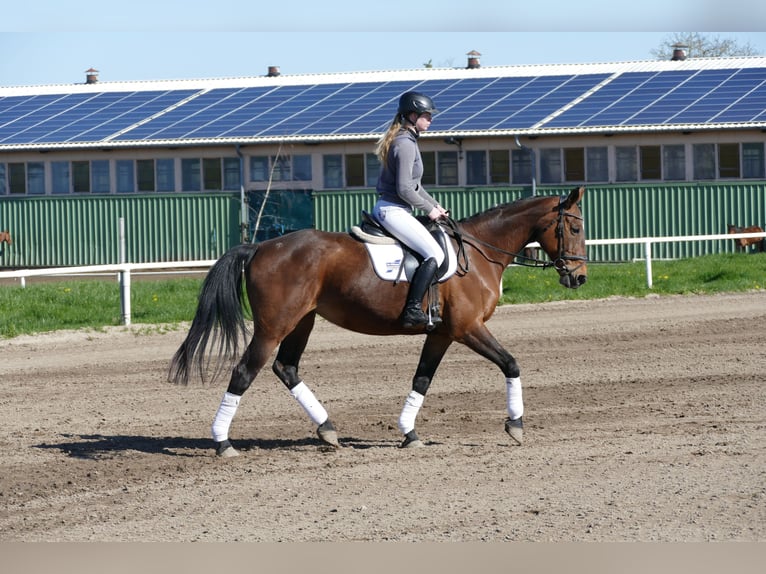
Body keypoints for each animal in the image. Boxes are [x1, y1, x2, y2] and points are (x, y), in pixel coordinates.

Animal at [169, 187, 587, 457]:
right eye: (576, 228)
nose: (579, 277)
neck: (480, 251)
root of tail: (260, 246)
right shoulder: (468, 329)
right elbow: (511, 363)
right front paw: (515, 426)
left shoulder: (442, 334)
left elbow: (422, 379)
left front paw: (409, 433)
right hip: (274, 327)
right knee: (244, 372)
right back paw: (223, 443)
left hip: (303, 322)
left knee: (286, 368)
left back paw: (327, 430)